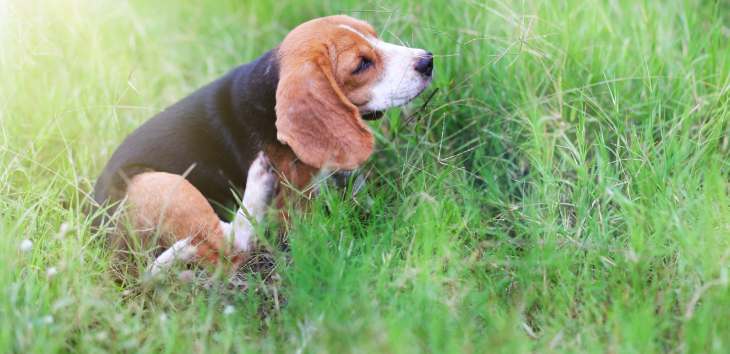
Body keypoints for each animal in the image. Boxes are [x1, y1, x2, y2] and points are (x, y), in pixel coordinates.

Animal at [92, 15, 432, 276]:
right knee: (229, 249)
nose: (427, 60)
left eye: (375, 36)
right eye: (361, 64)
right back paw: (257, 186)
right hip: (156, 184)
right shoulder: (295, 207)